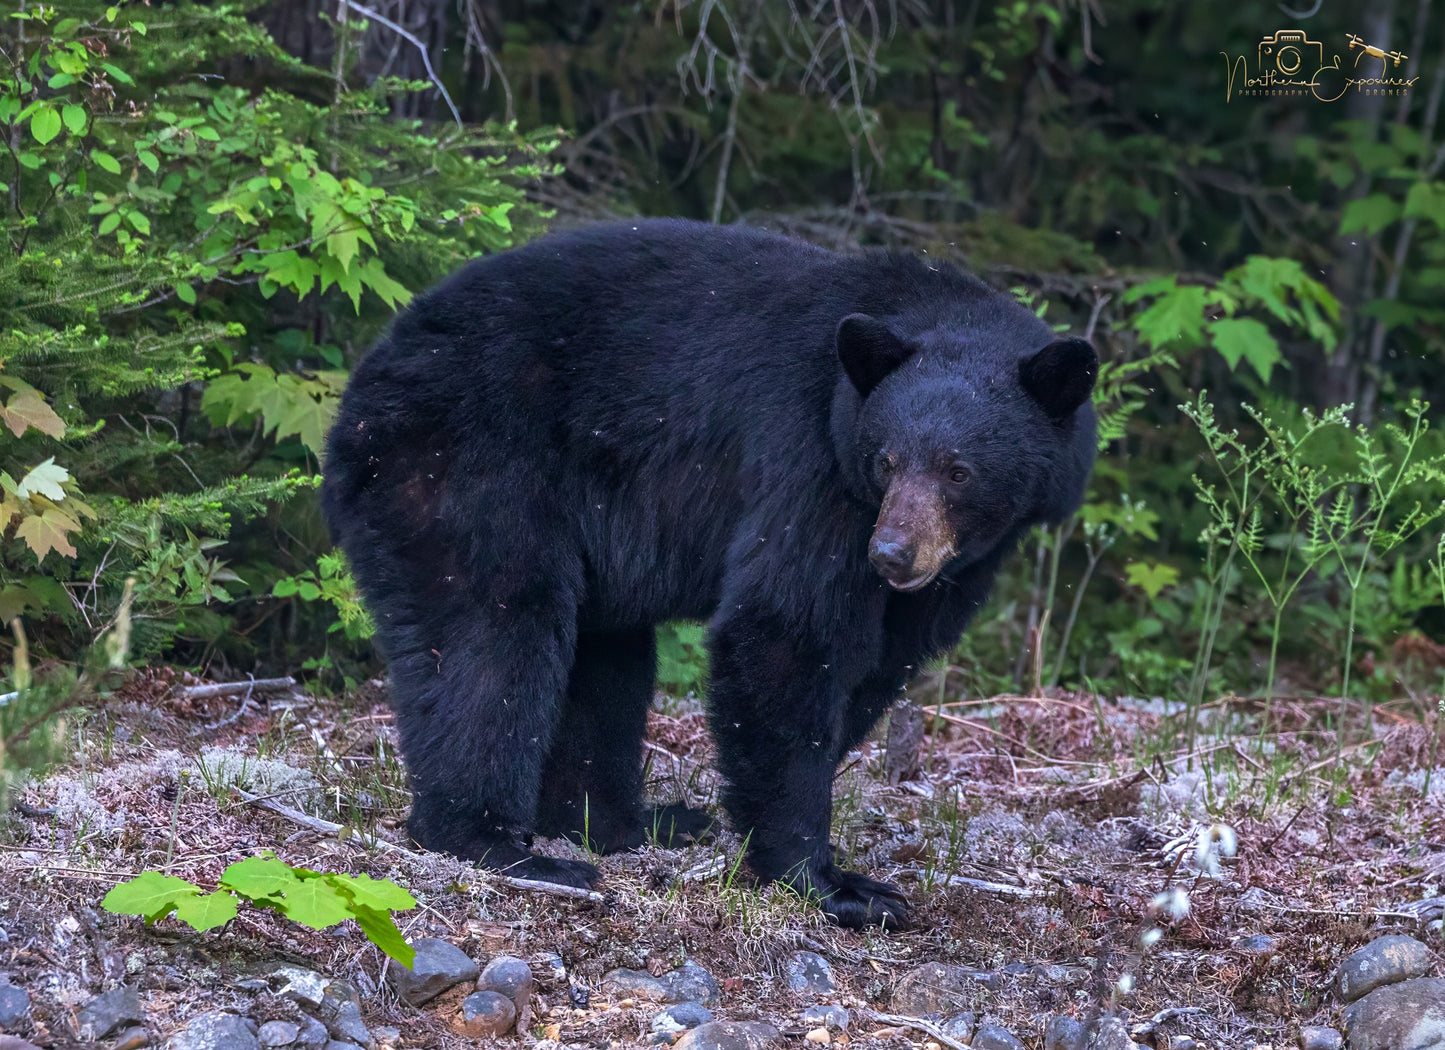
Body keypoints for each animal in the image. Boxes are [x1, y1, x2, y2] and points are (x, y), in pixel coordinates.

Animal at [322, 218, 1097, 928]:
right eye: (886, 459)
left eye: (958, 470)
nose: (891, 554)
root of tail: (364, 386)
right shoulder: (807, 463)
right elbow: (785, 631)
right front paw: (830, 881)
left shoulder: (964, 562)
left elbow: (883, 656)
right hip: (464, 458)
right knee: (495, 633)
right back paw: (499, 844)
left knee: (603, 661)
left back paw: (623, 822)